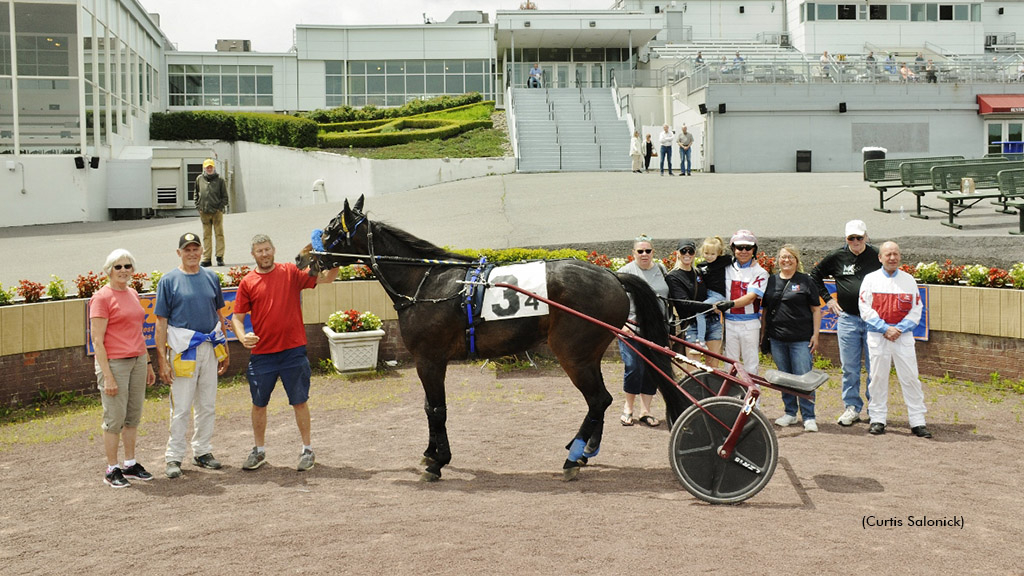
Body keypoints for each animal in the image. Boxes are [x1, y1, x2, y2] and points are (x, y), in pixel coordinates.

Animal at [294, 195, 688, 479]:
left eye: (331, 229)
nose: (301, 257)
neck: (427, 282)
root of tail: (613, 276)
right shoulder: (430, 360)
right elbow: (430, 408)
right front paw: (431, 454)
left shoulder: (429, 359)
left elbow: (435, 408)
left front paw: (437, 460)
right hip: (587, 354)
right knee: (600, 400)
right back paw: (585, 450)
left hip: (572, 354)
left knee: (598, 400)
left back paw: (575, 457)